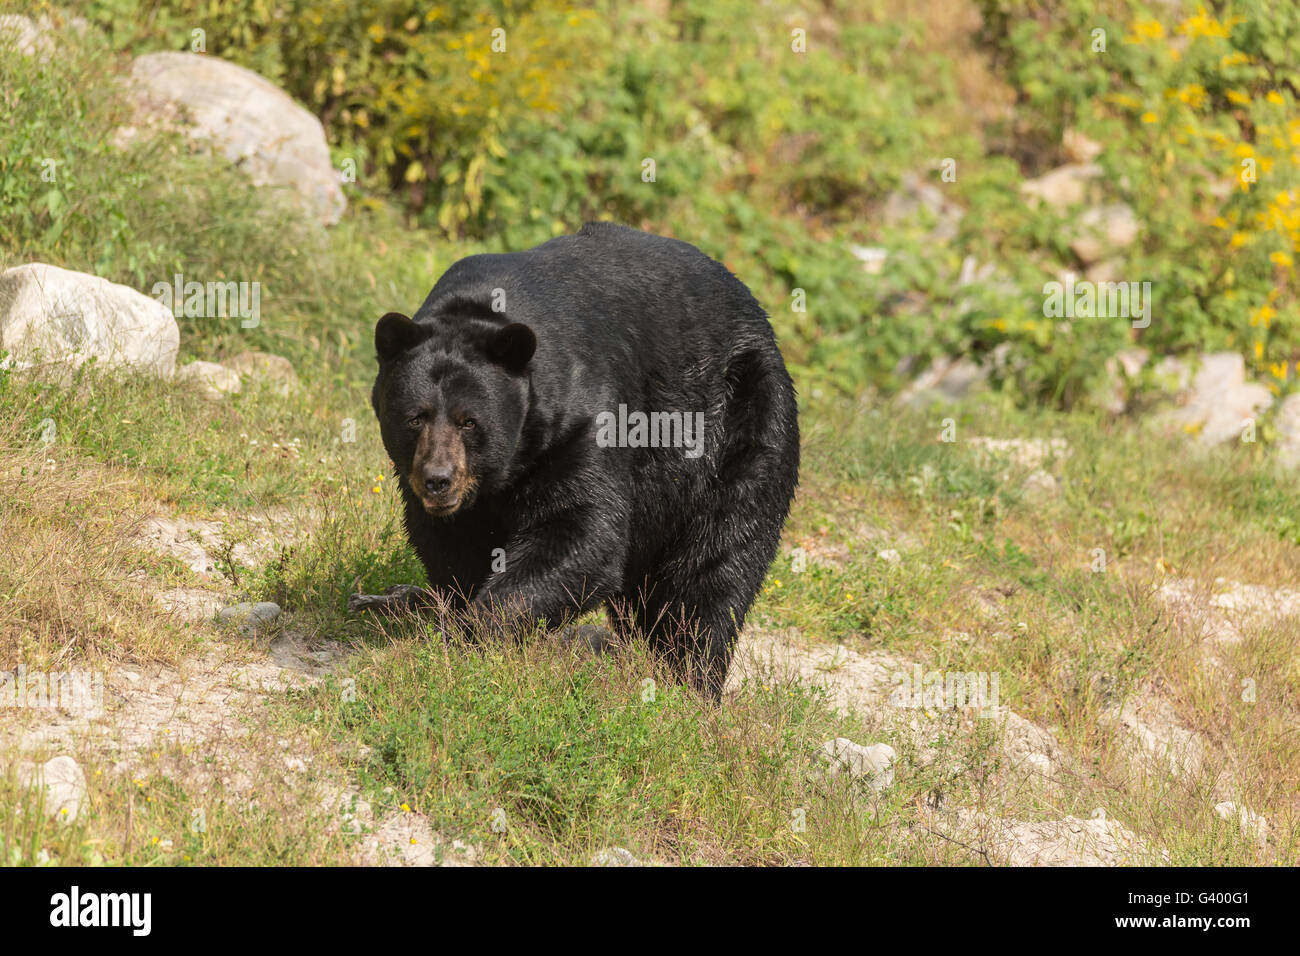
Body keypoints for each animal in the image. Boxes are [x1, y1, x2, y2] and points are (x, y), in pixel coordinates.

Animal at [356, 223, 800, 702]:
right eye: (415, 417)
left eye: (469, 421)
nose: (438, 480)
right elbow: (450, 545)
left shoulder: (584, 422)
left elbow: (581, 531)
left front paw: (471, 632)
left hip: (741, 423)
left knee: (715, 564)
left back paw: (689, 680)